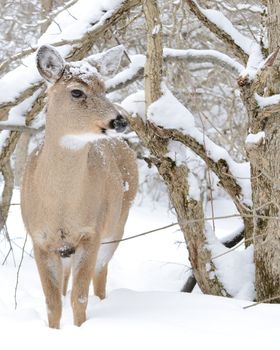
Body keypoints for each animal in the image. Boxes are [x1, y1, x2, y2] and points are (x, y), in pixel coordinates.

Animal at [20, 43, 138, 328]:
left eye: (104, 87)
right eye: (76, 91)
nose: (121, 121)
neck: (61, 205)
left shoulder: (91, 233)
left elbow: (80, 297)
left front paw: (81, 328)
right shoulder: (40, 240)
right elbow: (52, 302)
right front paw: (54, 331)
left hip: (117, 225)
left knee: (100, 276)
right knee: (65, 285)